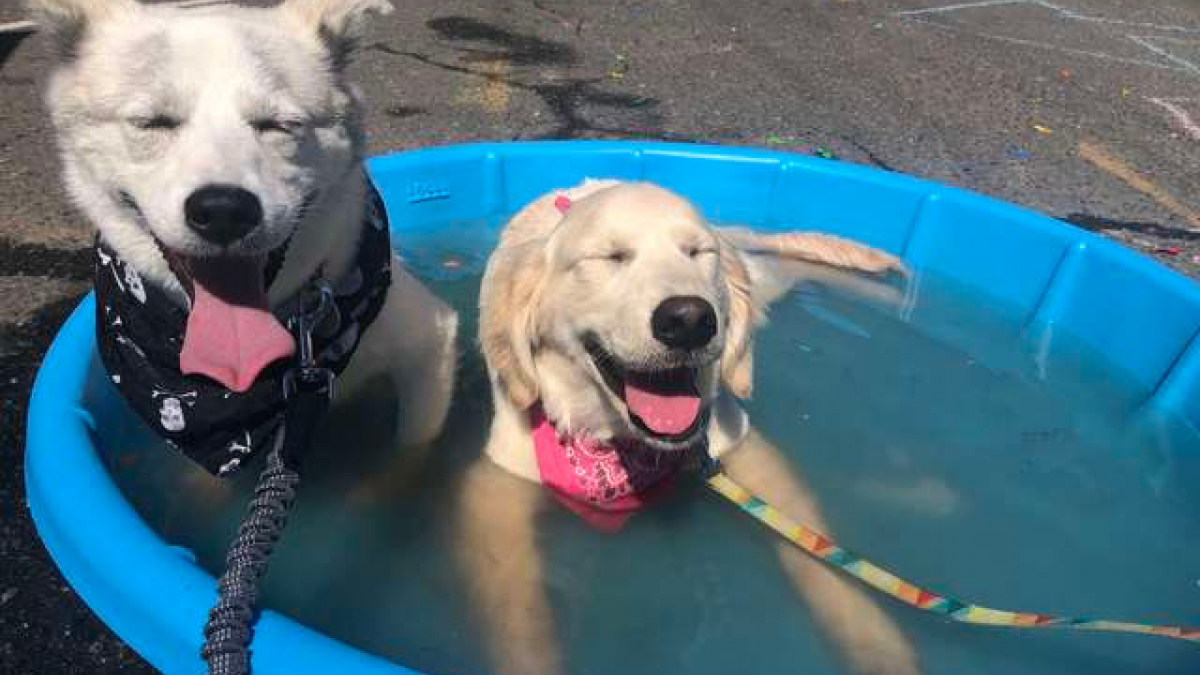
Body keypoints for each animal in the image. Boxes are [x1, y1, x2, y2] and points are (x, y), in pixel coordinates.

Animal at [463, 178, 921, 672]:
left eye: (697, 252)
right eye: (611, 257)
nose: (689, 319)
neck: (617, 446)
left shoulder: (741, 445)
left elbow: (830, 574)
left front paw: (881, 651)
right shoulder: (497, 486)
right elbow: (517, 613)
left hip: (764, 280)